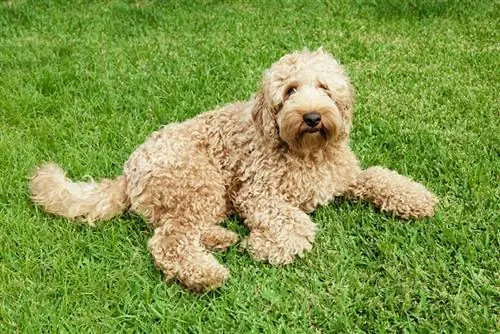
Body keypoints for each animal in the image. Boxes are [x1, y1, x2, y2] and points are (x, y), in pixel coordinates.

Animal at [29, 49, 436, 290]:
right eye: (290, 90)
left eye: (324, 87)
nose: (312, 116)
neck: (306, 153)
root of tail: (128, 171)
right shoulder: (257, 193)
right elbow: (297, 222)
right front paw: (267, 245)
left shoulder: (344, 177)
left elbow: (380, 176)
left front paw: (417, 198)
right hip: (200, 182)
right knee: (169, 240)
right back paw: (207, 273)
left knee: (175, 228)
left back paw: (221, 238)